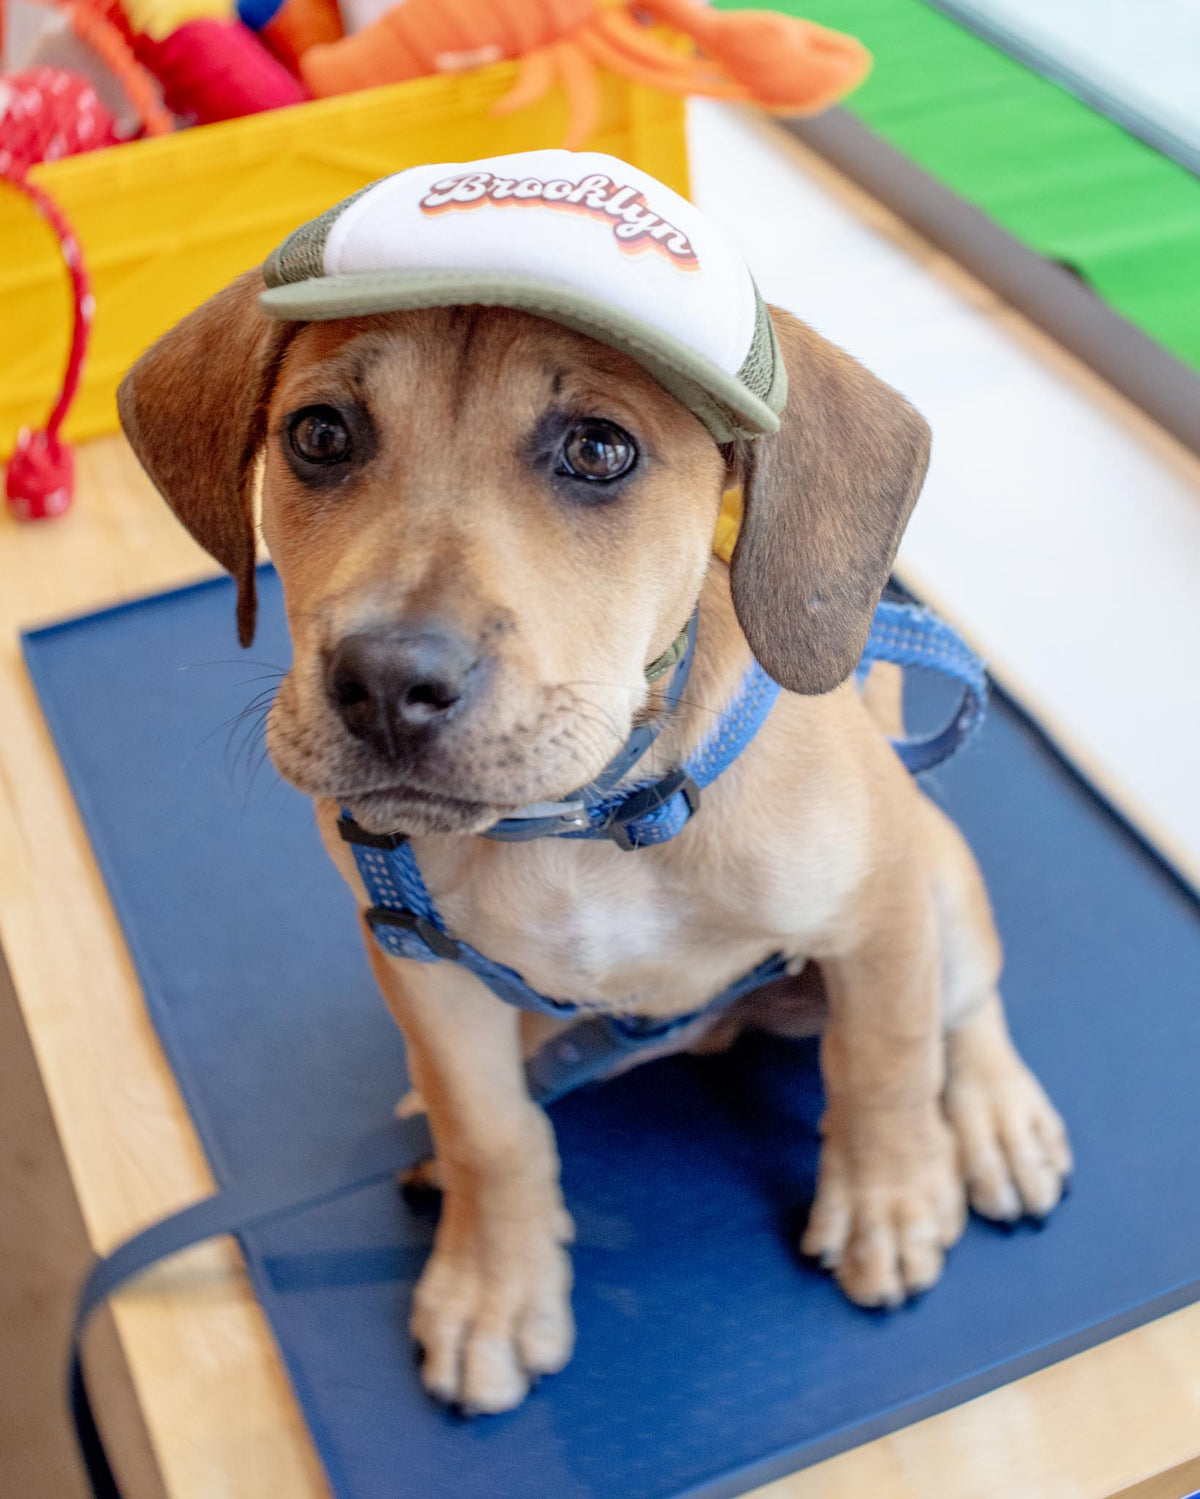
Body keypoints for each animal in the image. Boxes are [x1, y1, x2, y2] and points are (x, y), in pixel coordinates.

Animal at [119, 272, 1066, 1415]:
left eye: (599, 450)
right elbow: (488, 1131)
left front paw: (888, 1197)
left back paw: (996, 1117)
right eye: (319, 434)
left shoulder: (875, 913)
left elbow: (882, 1058)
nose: (387, 683)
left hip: (935, 878)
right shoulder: (424, 969)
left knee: (965, 1005)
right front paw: (493, 1287)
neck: (582, 819)